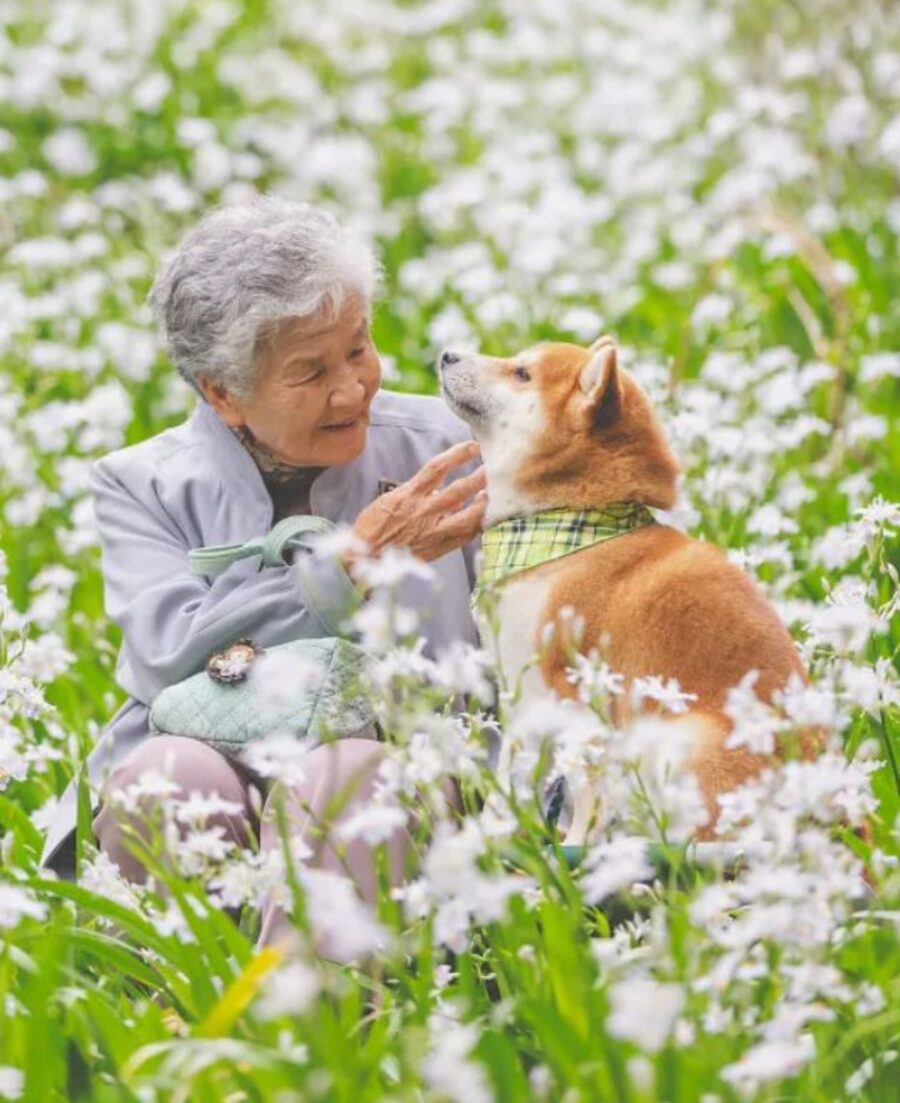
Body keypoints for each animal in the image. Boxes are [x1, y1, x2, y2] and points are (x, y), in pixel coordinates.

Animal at [438, 335, 811, 833]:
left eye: (522, 374)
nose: (447, 354)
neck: (565, 526)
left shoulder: (575, 698)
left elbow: (585, 791)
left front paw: (577, 846)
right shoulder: (525, 700)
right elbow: (510, 787)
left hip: (679, 737)